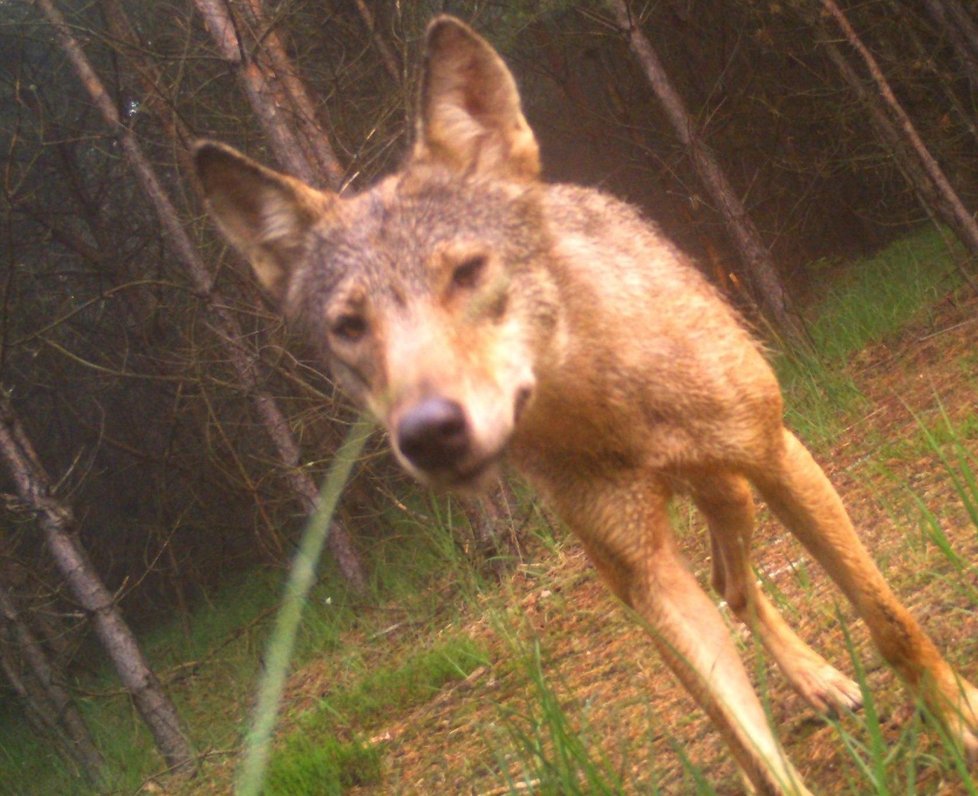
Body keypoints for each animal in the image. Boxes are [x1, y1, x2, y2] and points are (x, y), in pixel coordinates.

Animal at [191, 14, 976, 796]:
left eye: (467, 273)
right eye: (350, 327)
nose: (428, 433)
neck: (608, 407)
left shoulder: (780, 459)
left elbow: (891, 622)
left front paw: (959, 719)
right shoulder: (644, 574)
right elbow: (754, 749)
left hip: (736, 491)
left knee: (735, 580)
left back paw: (824, 681)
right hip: (641, 565)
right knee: (727, 597)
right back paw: (812, 682)